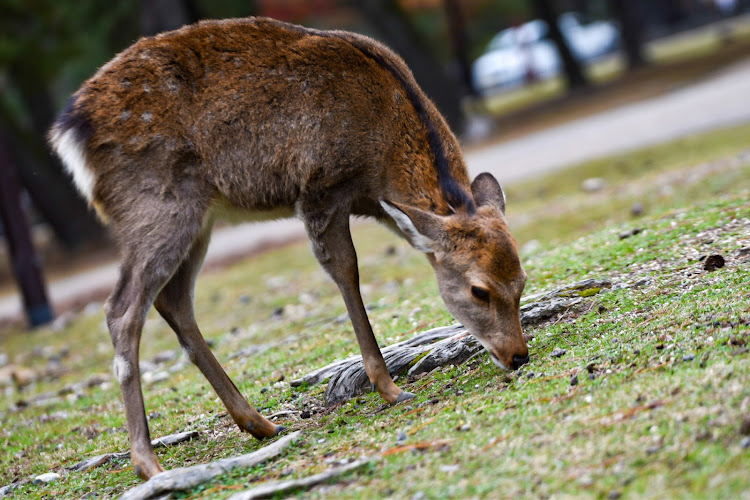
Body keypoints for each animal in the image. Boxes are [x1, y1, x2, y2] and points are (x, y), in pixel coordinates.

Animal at [48, 17, 528, 478]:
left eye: (521, 281)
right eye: (478, 290)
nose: (518, 356)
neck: (380, 167)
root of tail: (70, 129)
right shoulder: (320, 189)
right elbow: (347, 272)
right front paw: (390, 388)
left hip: (196, 215)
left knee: (174, 300)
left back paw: (259, 423)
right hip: (154, 205)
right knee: (121, 309)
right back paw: (147, 461)